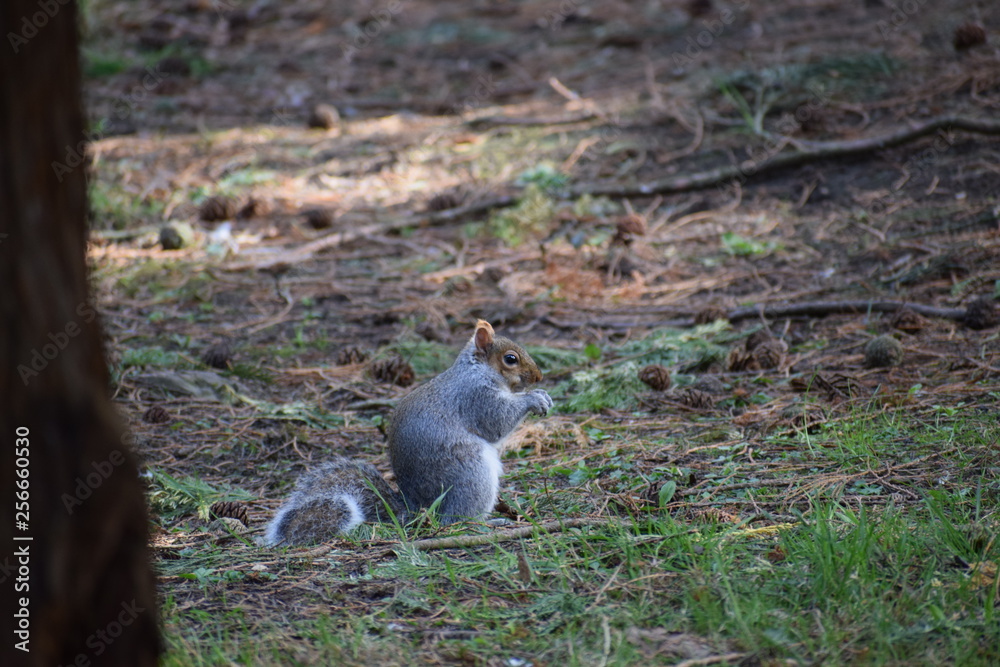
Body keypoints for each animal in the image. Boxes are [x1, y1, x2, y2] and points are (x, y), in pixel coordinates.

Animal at [262, 322, 552, 548]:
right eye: (510, 359)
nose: (539, 377)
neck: (477, 369)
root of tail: (415, 509)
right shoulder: (475, 397)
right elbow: (496, 422)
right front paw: (534, 399)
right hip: (472, 476)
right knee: (458, 519)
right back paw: (488, 523)